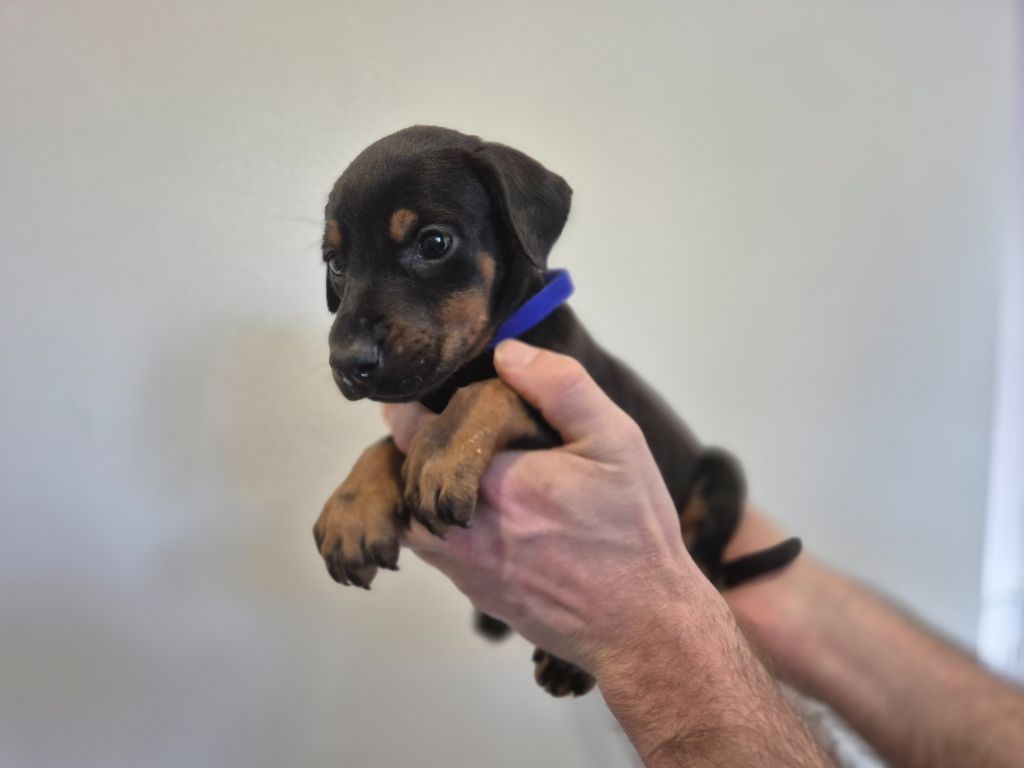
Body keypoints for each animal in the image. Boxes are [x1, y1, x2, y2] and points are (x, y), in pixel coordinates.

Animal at [312, 126, 801, 697]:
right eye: (335, 263)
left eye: (434, 242)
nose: (346, 363)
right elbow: (385, 443)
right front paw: (352, 509)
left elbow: (493, 390)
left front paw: (439, 453)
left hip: (720, 479)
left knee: (699, 560)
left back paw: (570, 662)